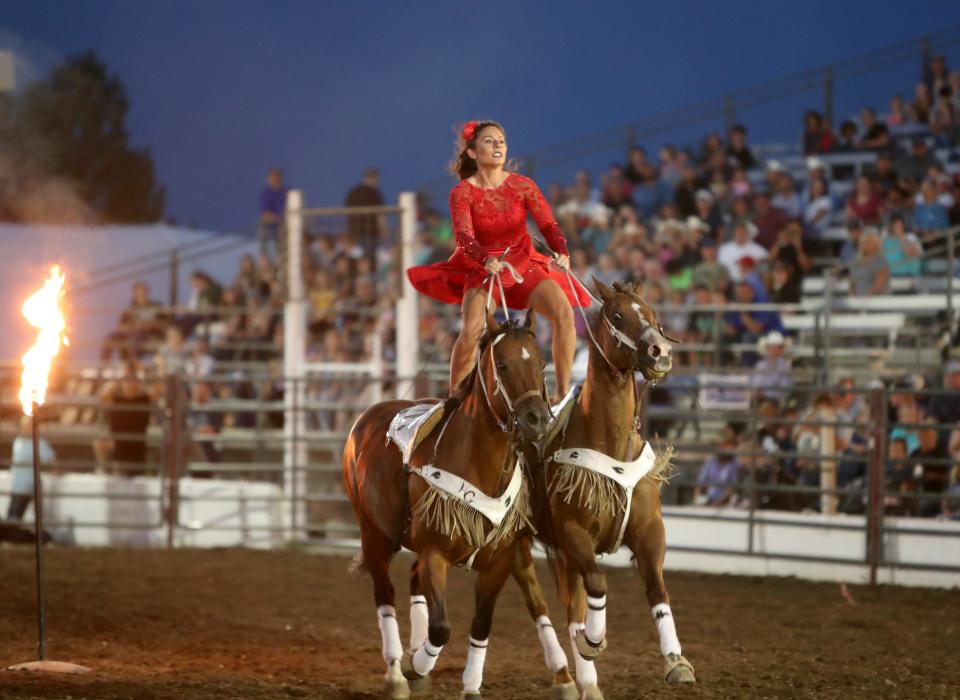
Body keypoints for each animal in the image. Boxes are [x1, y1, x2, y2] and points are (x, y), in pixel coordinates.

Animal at [342, 314, 572, 700]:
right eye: (502, 364)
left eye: (541, 364)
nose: (537, 419)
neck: (478, 463)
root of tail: (366, 418)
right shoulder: (435, 553)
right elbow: (441, 628)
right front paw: (417, 665)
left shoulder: (500, 560)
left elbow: (480, 625)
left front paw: (469, 685)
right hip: (373, 533)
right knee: (385, 594)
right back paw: (397, 673)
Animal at [516, 278, 696, 700]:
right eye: (617, 315)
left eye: (652, 314)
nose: (660, 352)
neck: (610, 445)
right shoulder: (573, 535)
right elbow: (597, 585)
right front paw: (593, 642)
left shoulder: (649, 533)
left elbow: (658, 590)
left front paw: (676, 660)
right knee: (542, 603)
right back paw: (570, 674)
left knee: (571, 605)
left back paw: (584, 681)